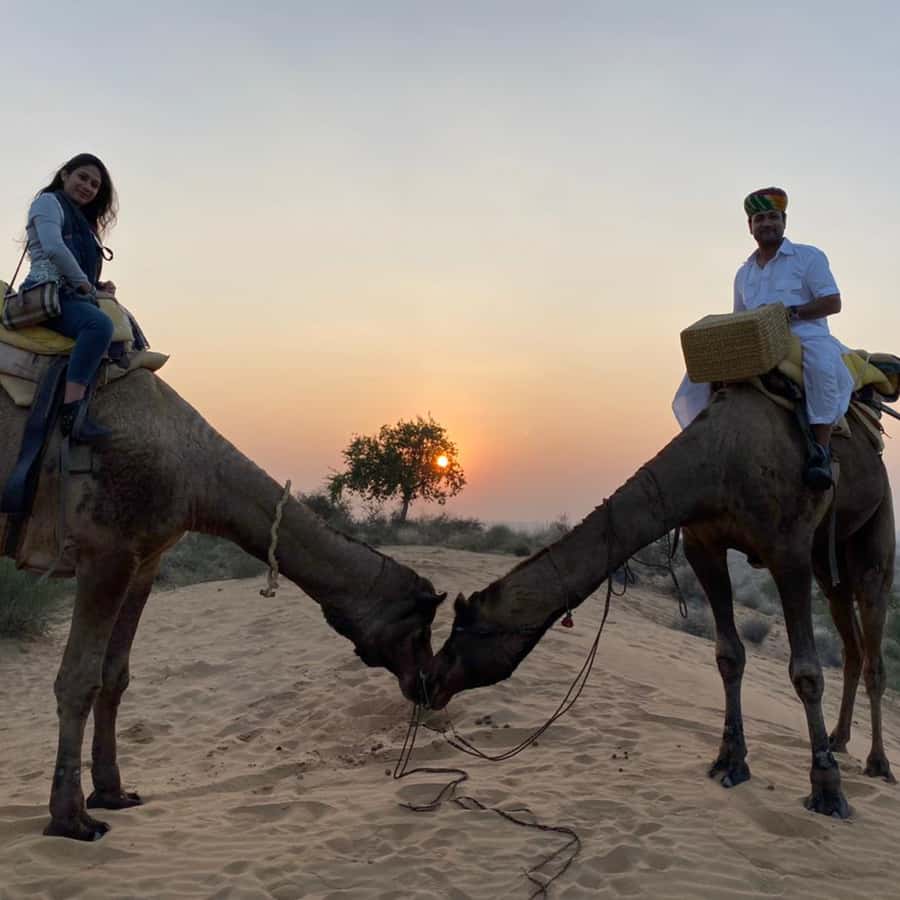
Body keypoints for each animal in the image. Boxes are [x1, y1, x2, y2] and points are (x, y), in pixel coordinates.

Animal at [0, 370, 445, 841]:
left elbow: (114, 676)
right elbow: (80, 680)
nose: (429, 685)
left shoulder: (145, 558)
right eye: (419, 628)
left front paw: (112, 793)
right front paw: (71, 819)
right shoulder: (105, 550)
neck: (198, 475)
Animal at [425, 383, 895, 818]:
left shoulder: (788, 548)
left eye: (460, 635)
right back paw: (840, 739)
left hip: (875, 523)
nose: (428, 683)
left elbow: (807, 673)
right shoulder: (703, 545)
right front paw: (729, 762)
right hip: (827, 556)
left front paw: (828, 790)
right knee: (849, 637)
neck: (718, 463)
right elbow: (729, 655)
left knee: (874, 633)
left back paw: (878, 763)